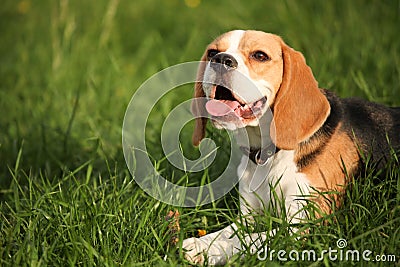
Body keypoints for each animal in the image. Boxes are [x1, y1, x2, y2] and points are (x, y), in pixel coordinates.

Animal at [182, 30, 400, 264]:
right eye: (212, 52)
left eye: (260, 56)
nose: (221, 59)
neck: (268, 156)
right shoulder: (248, 217)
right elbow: (228, 234)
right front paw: (202, 243)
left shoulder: (301, 226)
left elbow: (248, 240)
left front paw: (203, 250)